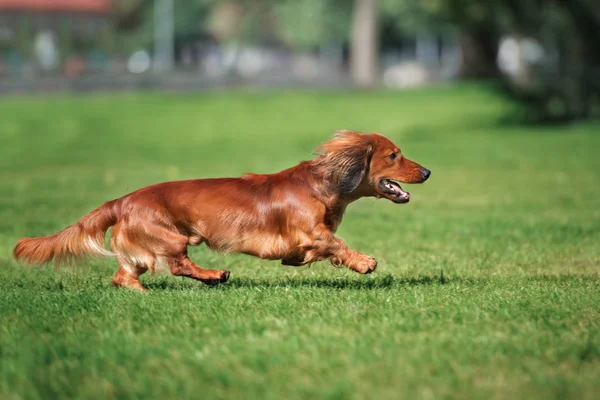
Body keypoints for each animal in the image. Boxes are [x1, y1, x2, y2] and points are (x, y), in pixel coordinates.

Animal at [14, 131, 432, 290]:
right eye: (394, 156)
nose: (427, 172)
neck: (322, 183)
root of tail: (122, 200)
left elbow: (312, 252)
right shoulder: (311, 231)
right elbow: (336, 244)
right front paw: (364, 262)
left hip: (143, 250)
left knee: (124, 275)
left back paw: (141, 291)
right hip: (172, 237)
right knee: (179, 265)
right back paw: (215, 275)